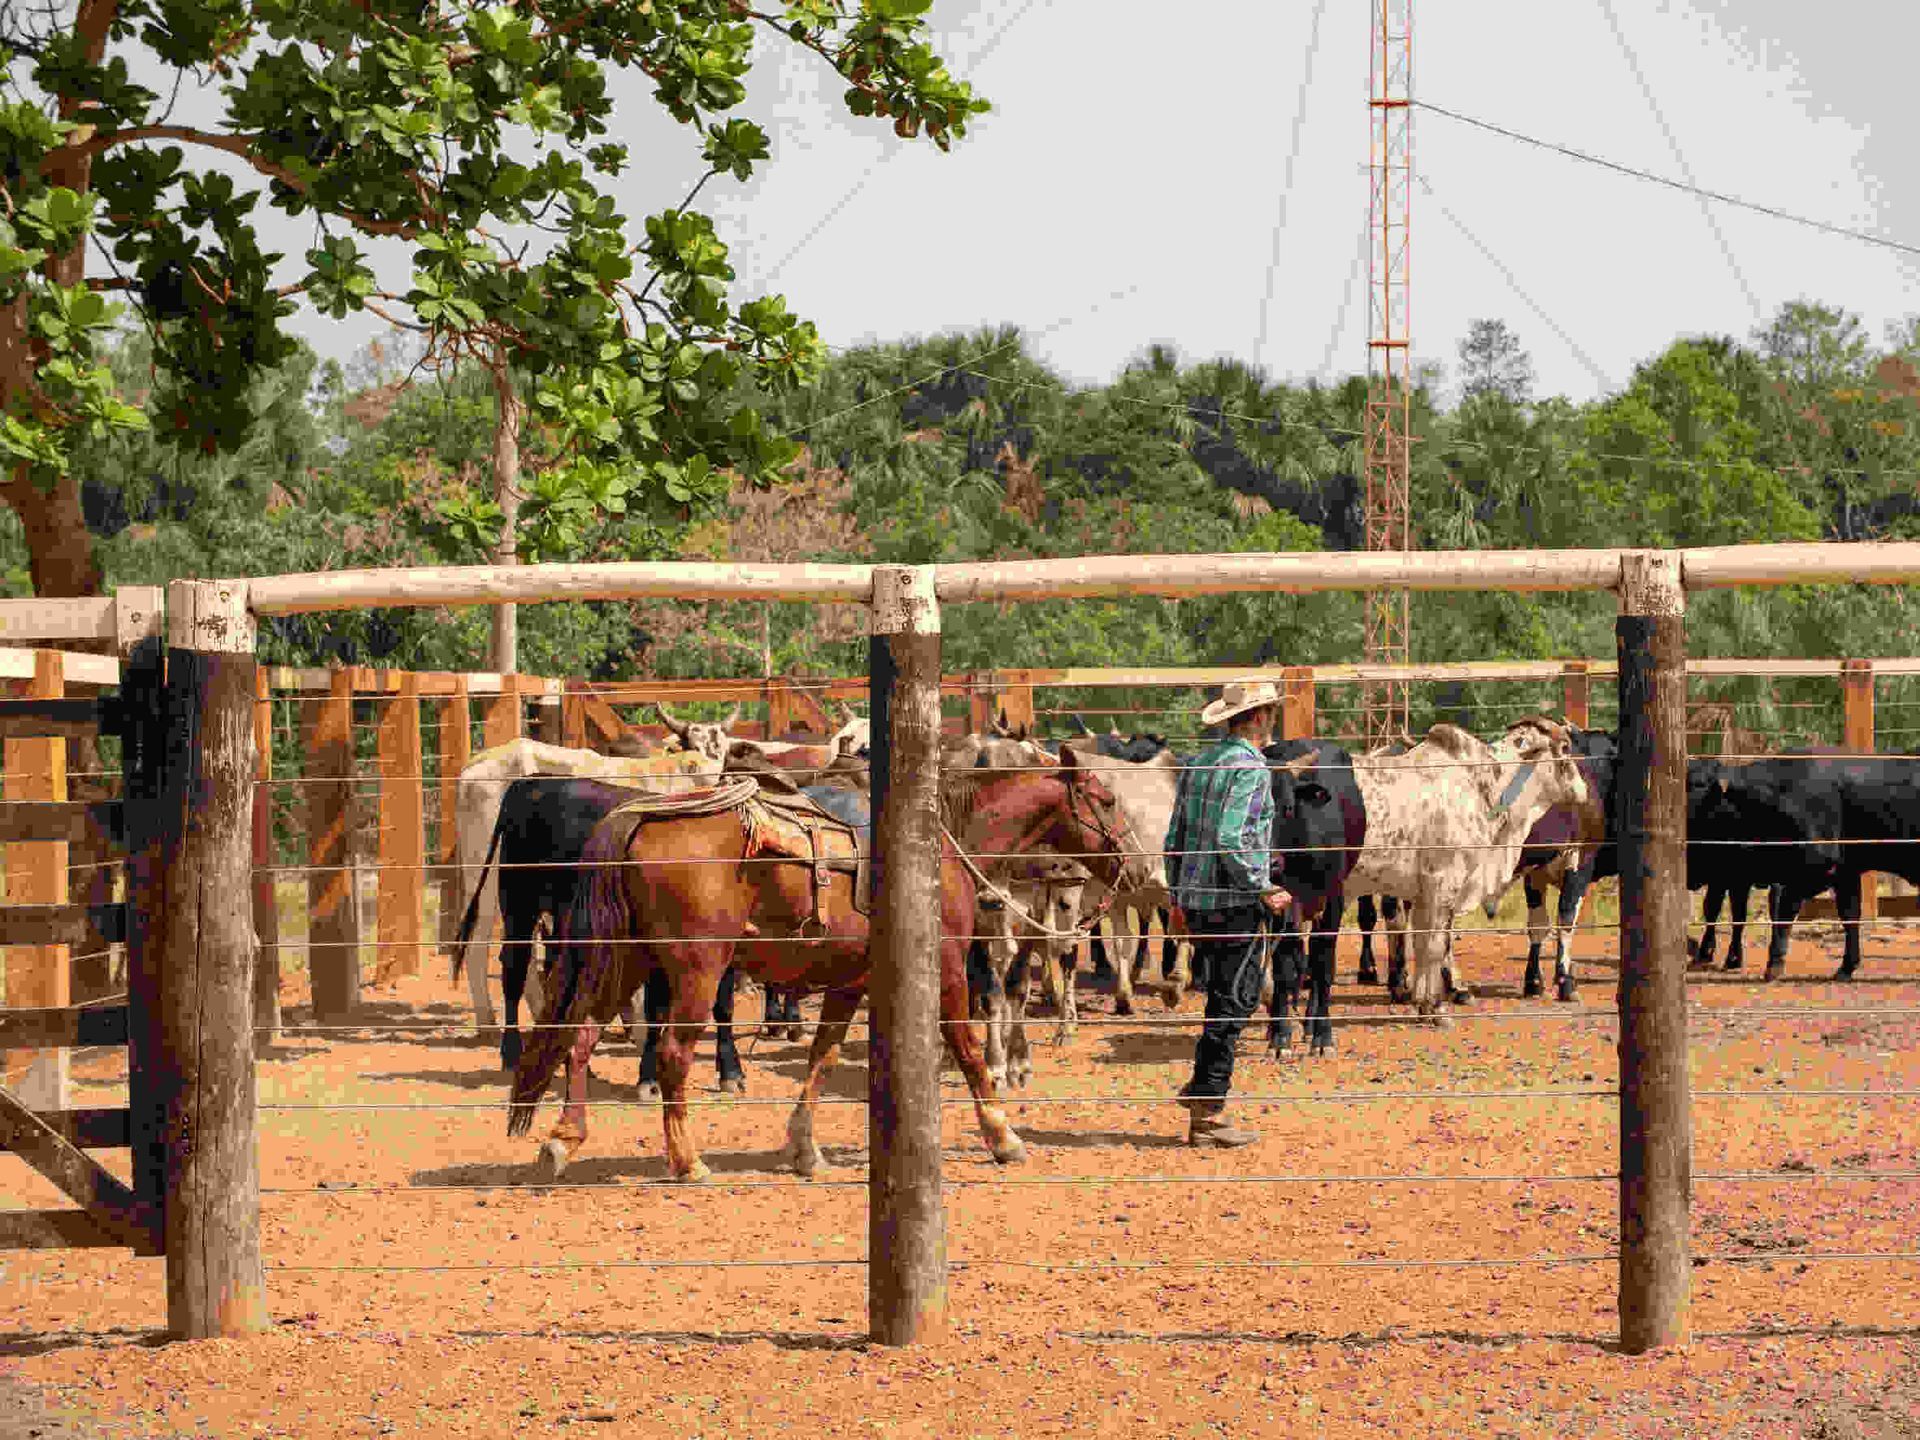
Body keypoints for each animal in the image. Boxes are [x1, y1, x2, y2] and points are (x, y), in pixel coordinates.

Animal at [503, 756, 1144, 1182]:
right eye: (1108, 801)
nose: (1140, 869)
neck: (940, 844)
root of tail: (636, 819)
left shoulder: (848, 984)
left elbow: (822, 1058)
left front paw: (803, 1149)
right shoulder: (946, 972)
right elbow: (965, 1050)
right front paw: (1003, 1135)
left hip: (626, 956)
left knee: (580, 1037)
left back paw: (563, 1140)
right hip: (695, 969)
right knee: (671, 1055)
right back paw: (688, 1161)